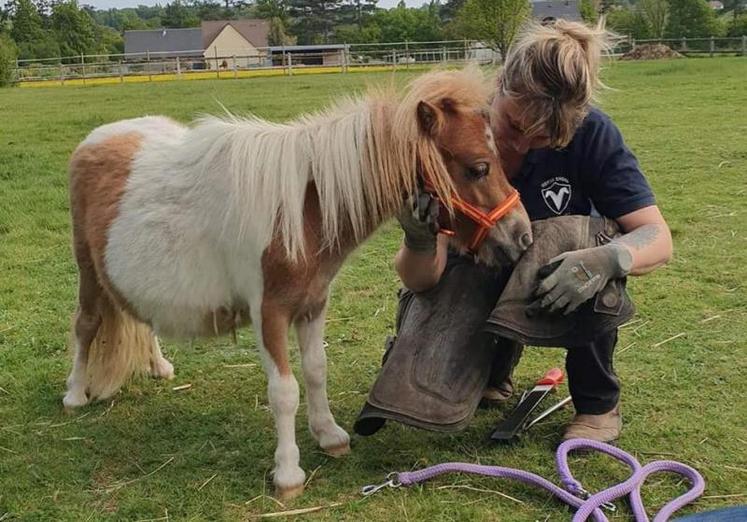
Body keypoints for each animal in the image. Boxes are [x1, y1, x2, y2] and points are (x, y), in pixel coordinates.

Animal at [62, 68, 532, 496]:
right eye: (478, 168)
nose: (521, 235)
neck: (302, 213)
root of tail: (97, 139)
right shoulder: (269, 313)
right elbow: (284, 390)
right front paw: (288, 474)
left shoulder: (312, 303)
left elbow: (316, 370)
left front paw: (330, 435)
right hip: (88, 269)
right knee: (86, 325)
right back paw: (75, 394)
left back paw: (158, 367)